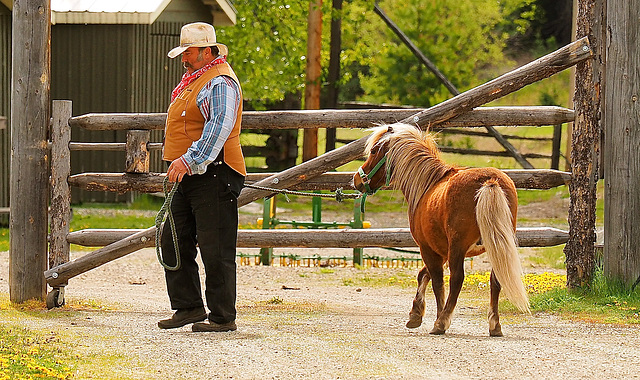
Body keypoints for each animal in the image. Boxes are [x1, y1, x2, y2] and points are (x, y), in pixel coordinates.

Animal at [352, 122, 528, 336]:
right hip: (496, 246)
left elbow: (437, 282)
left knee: (457, 279)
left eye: (374, 151)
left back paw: (442, 322)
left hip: (458, 248)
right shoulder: (440, 250)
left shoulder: (428, 248)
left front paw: (437, 318)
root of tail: (490, 181)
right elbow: (424, 274)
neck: (428, 184)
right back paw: (494, 325)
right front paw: (415, 314)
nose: (357, 180)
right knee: (495, 280)